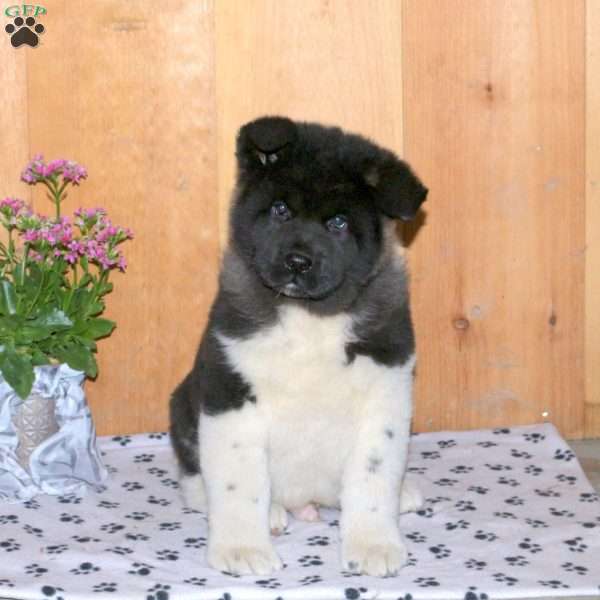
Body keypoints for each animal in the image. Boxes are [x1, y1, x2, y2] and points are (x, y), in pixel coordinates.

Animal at [171, 115, 428, 580]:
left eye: (339, 223)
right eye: (280, 210)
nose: (297, 261)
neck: (311, 317)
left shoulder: (386, 395)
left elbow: (373, 477)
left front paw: (374, 543)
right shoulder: (231, 393)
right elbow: (238, 484)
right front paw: (241, 548)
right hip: (184, 405)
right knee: (196, 482)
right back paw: (269, 513)